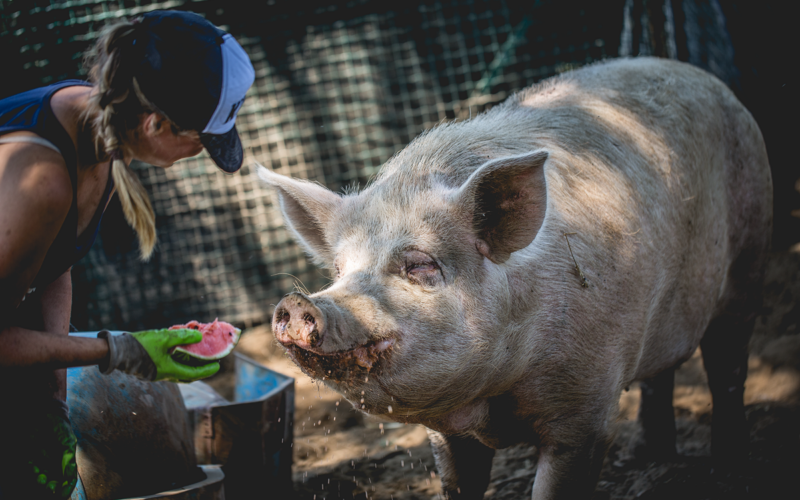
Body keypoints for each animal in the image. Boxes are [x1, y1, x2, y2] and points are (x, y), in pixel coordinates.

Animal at [256, 56, 768, 498]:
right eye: (339, 270)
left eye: (419, 265)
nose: (298, 303)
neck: (494, 398)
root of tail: (702, 76)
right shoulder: (446, 431)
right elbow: (459, 483)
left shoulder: (587, 409)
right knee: (660, 373)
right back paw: (648, 455)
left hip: (748, 258)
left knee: (727, 366)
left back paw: (730, 465)